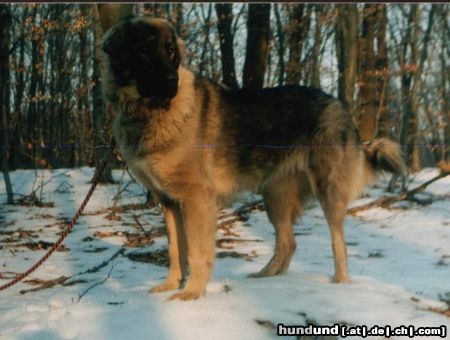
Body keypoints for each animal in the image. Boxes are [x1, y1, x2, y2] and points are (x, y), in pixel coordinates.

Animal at [100, 15, 406, 300]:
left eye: (171, 51)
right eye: (145, 48)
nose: (170, 81)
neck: (152, 112)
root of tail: (339, 106)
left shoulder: (197, 199)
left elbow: (197, 252)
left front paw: (192, 293)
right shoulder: (170, 202)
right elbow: (176, 250)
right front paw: (172, 285)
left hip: (327, 192)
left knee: (337, 242)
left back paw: (340, 283)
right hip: (275, 197)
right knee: (288, 243)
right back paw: (265, 277)